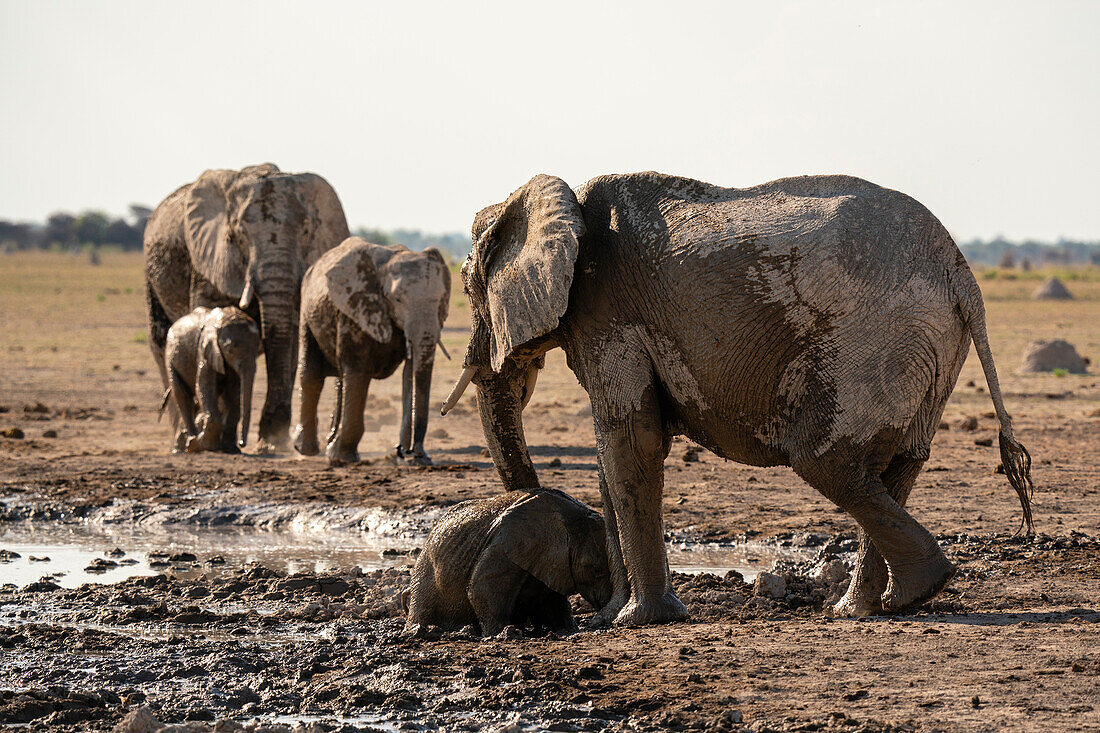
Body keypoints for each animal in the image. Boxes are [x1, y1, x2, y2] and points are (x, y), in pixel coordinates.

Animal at [161, 301, 260, 451]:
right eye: (230, 349)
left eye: (258, 349)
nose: (242, 443)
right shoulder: (205, 351)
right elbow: (204, 387)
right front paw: (206, 444)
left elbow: (233, 392)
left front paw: (229, 449)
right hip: (170, 355)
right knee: (182, 394)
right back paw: (192, 442)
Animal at [404, 484, 616, 633]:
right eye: (595, 569)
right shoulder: (507, 542)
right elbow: (481, 588)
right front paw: (503, 633)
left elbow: (552, 599)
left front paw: (569, 628)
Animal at [442, 169, 1034, 620]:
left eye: (469, 287)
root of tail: (961, 271)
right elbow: (614, 452)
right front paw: (611, 617)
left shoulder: (609, 314)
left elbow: (630, 442)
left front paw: (640, 621)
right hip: (932, 348)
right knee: (895, 467)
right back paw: (874, 607)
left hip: (880, 339)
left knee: (825, 459)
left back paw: (907, 592)